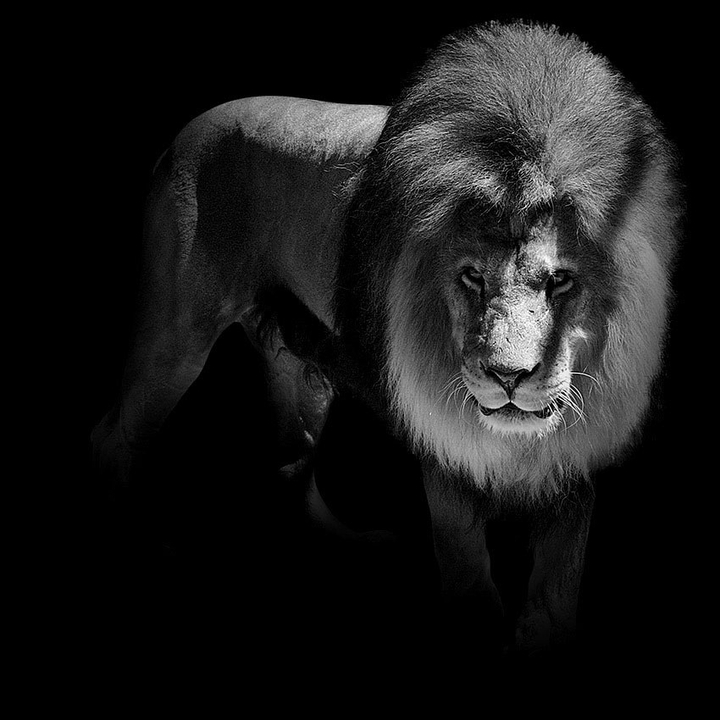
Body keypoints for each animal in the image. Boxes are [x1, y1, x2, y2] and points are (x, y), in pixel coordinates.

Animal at [92, 22, 682, 658]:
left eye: (560, 280)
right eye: (472, 277)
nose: (507, 376)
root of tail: (182, 133)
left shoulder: (576, 463)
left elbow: (555, 592)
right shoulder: (443, 443)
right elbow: (469, 582)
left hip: (305, 366)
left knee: (294, 458)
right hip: (177, 338)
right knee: (115, 438)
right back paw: (145, 550)